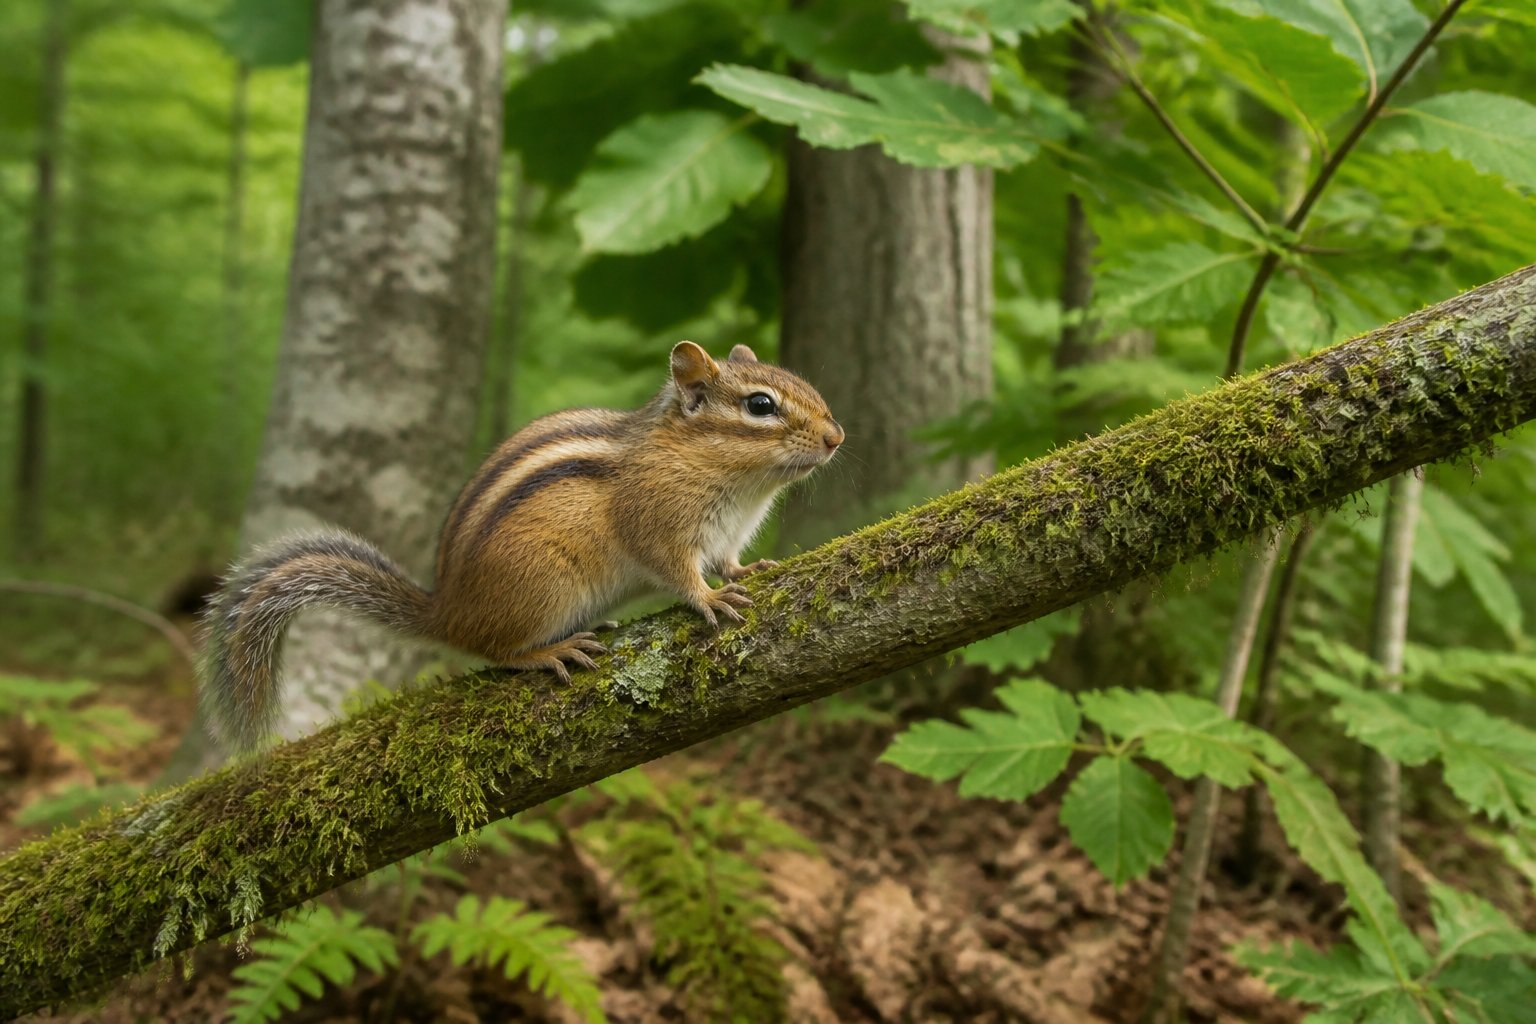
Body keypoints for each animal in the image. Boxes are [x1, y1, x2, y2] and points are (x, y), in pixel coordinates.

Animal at [200, 341, 845, 753]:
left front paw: (746, 571)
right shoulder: (658, 523)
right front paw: (708, 598)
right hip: (542, 586)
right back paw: (550, 650)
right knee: (495, 650)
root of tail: (446, 610)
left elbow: (729, 561)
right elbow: (678, 571)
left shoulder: (727, 534)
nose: (837, 437)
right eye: (760, 405)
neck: (739, 487)